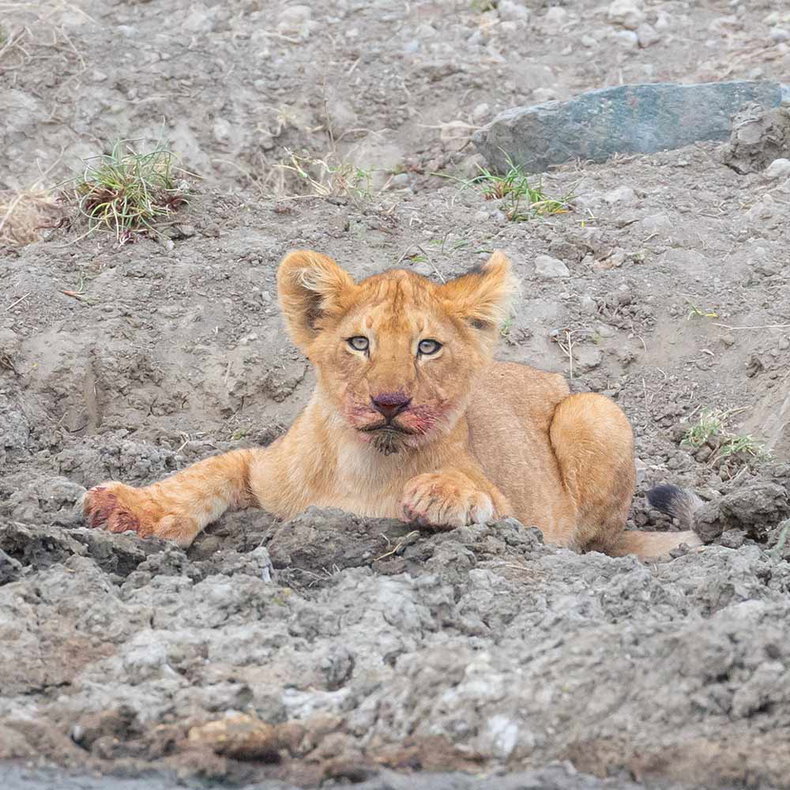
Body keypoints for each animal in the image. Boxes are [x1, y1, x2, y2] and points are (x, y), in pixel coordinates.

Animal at [83, 249, 701, 559]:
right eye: (360, 343)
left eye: (427, 347)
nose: (389, 400)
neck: (366, 460)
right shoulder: (260, 467)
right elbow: (200, 474)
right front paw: (128, 509)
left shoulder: (520, 514)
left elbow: (485, 498)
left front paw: (441, 495)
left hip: (593, 412)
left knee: (598, 542)